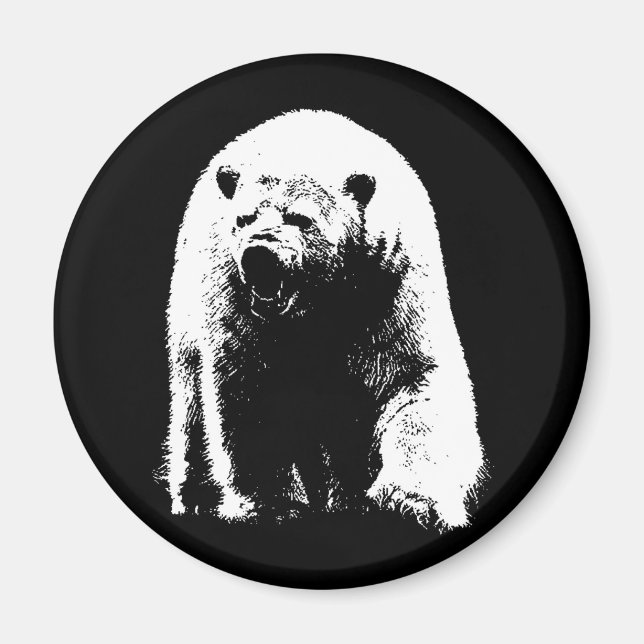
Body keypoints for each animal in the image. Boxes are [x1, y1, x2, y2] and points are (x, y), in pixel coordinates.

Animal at [164, 109, 487, 530]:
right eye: (244, 219)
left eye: (300, 218)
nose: (259, 254)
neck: (318, 305)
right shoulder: (235, 299)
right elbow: (249, 391)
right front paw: (272, 507)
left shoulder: (388, 284)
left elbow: (413, 382)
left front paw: (409, 502)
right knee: (190, 402)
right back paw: (197, 499)